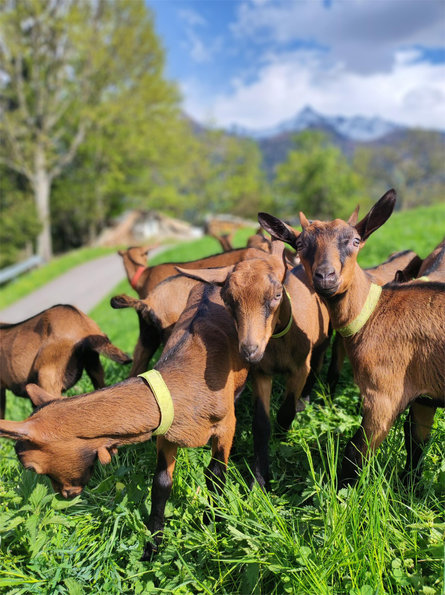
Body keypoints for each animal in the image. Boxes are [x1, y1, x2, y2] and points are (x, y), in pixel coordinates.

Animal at [177, 242, 330, 488]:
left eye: (277, 295)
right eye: (228, 300)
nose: (249, 351)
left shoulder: (299, 368)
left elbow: (286, 411)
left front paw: (281, 436)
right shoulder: (261, 373)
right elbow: (260, 424)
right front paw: (259, 480)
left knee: (317, 366)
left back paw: (304, 401)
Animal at [258, 191, 442, 488]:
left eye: (355, 241)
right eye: (300, 244)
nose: (325, 276)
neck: (376, 311)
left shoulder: (385, 394)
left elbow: (353, 453)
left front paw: (341, 492)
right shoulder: (425, 396)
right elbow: (416, 444)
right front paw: (410, 489)